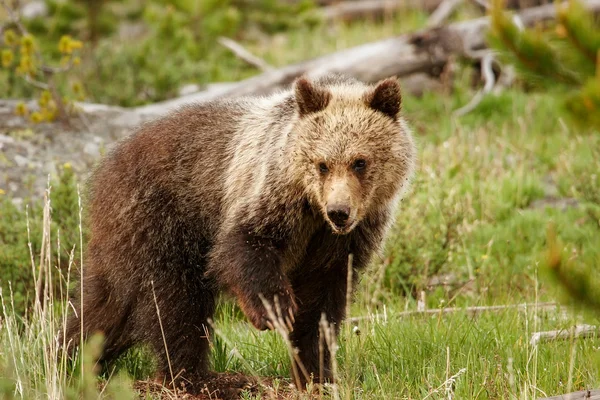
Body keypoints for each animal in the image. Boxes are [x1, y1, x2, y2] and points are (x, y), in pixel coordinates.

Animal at [63, 74, 414, 394]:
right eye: (322, 164)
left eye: (360, 162)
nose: (339, 211)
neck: (311, 209)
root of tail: (105, 165)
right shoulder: (264, 194)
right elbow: (244, 246)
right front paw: (276, 311)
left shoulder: (341, 243)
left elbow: (321, 305)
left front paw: (317, 374)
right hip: (161, 220)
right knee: (176, 302)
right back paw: (199, 380)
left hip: (124, 243)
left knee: (106, 306)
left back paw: (71, 357)